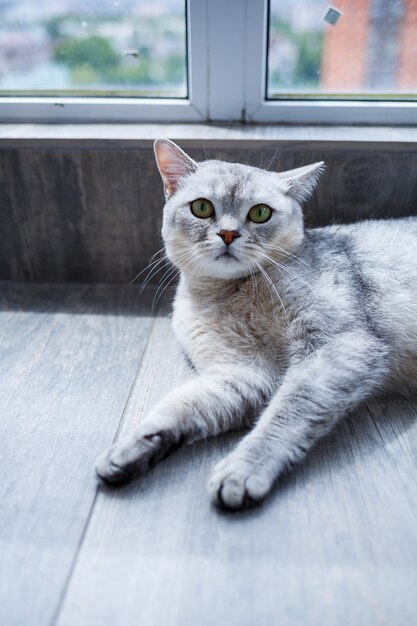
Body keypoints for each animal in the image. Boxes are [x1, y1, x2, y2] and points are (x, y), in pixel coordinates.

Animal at [96, 136, 416, 508]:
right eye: (201, 207)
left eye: (260, 213)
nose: (228, 234)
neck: (231, 295)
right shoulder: (242, 372)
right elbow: (180, 406)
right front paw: (131, 447)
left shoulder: (339, 345)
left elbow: (286, 413)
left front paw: (242, 470)